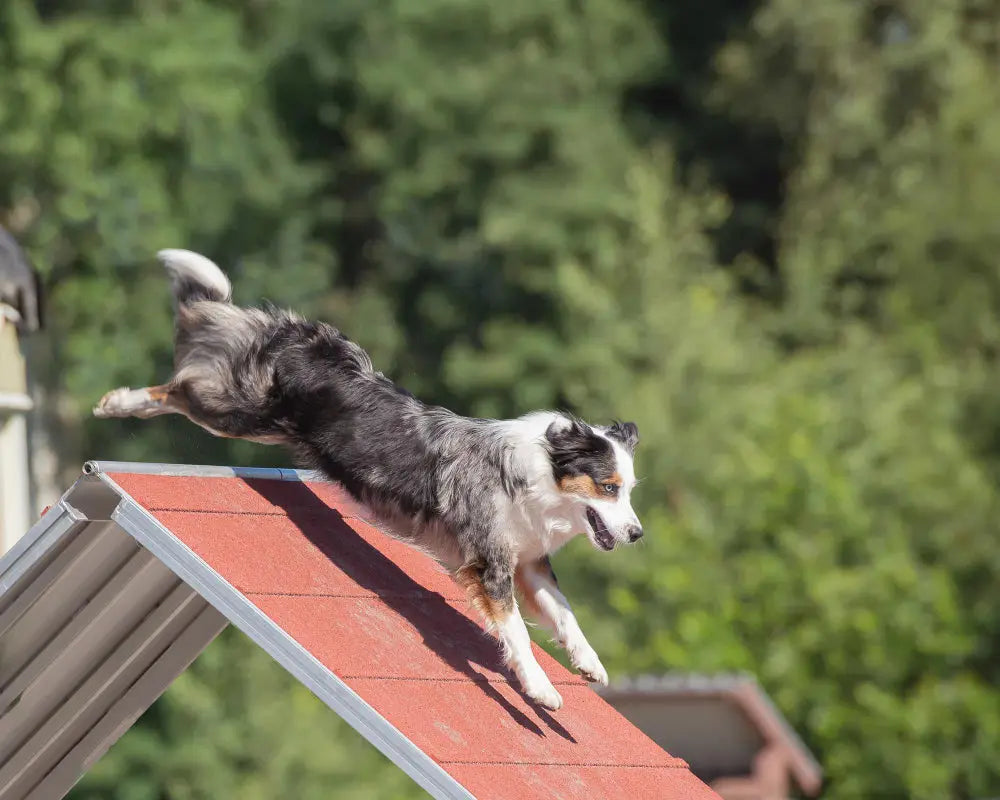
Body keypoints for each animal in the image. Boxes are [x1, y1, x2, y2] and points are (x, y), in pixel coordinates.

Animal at [97, 248, 644, 708]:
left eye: (629, 490)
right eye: (609, 487)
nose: (638, 533)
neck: (537, 478)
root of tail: (303, 335)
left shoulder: (529, 562)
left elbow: (567, 614)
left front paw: (590, 664)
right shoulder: (490, 566)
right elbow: (519, 633)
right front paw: (540, 689)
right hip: (239, 413)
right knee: (177, 387)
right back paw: (117, 401)